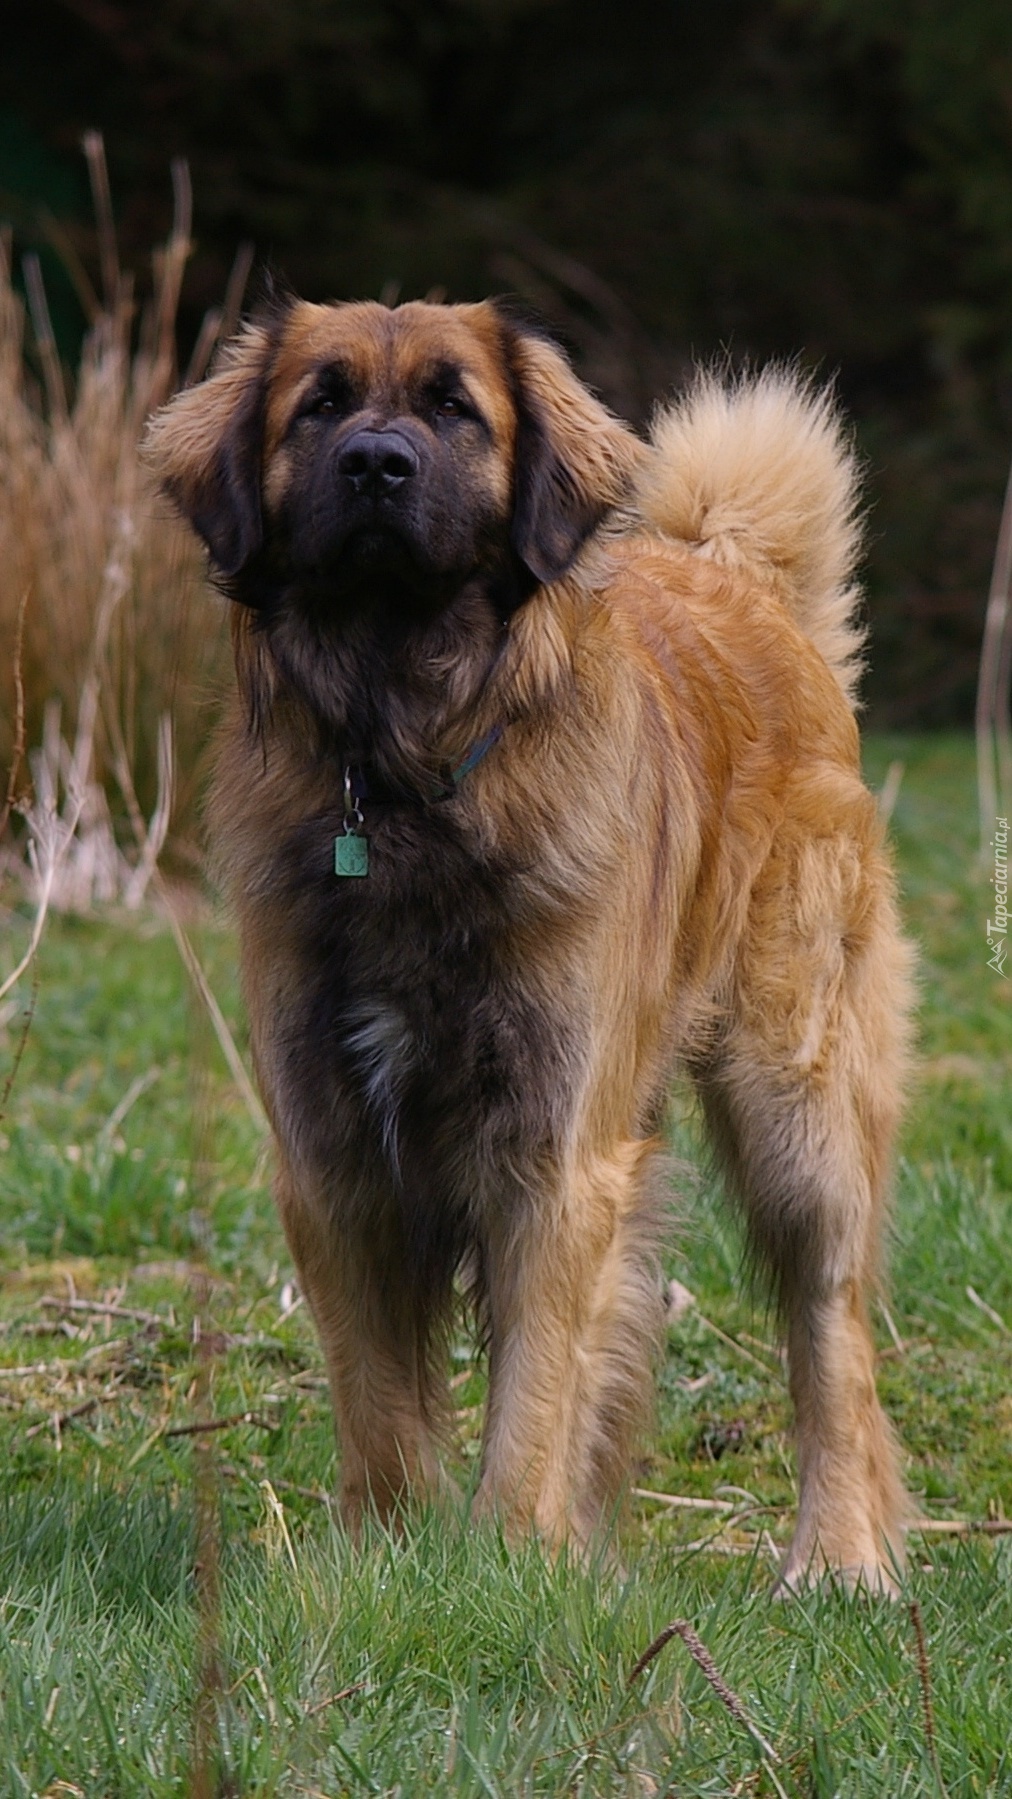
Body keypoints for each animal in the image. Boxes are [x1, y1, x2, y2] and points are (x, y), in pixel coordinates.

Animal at [146, 291, 913, 1590]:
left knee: (832, 1341)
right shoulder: (332, 1153)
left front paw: (508, 1558)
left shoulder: (553, 1156)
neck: (402, 772)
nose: (377, 464)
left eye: (455, 407)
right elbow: (379, 1394)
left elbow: (534, 1392)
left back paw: (838, 1554)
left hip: (796, 1113)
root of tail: (737, 579)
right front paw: (390, 1550)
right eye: (321, 405)